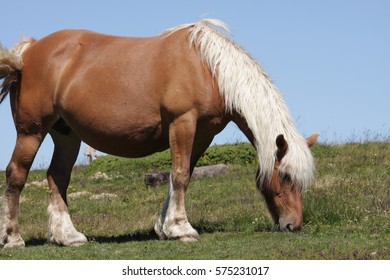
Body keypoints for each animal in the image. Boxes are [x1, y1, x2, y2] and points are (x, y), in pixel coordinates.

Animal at [0, 18, 316, 248]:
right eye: (285, 176)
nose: (293, 224)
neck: (208, 69)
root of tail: (28, 51)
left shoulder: (203, 133)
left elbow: (181, 175)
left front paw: (164, 228)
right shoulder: (183, 123)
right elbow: (179, 175)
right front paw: (181, 228)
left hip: (66, 135)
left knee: (58, 177)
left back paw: (67, 237)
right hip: (31, 131)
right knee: (17, 174)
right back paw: (13, 238)